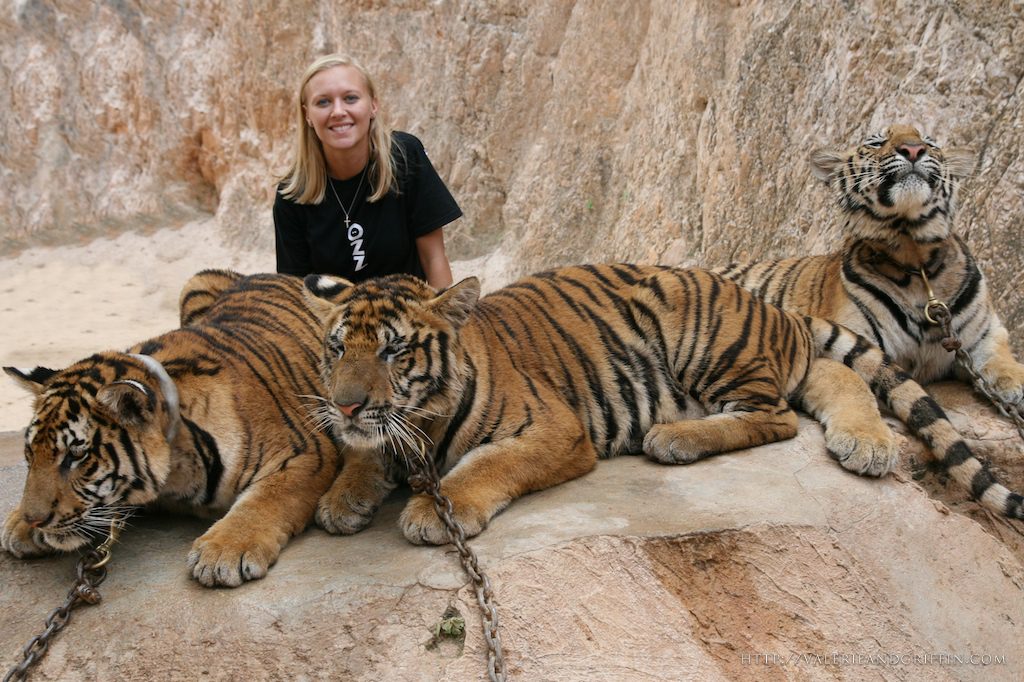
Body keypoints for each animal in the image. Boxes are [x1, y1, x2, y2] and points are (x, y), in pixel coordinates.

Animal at [2, 270, 342, 585]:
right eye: (30, 454)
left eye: (77, 456)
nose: (35, 521)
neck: (175, 470)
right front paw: (17, 524)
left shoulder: (306, 453)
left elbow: (263, 501)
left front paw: (223, 552)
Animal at [299, 262, 1019, 544]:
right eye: (336, 349)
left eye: (394, 351)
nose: (348, 406)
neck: (419, 426)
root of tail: (766, 304)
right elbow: (363, 456)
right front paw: (341, 498)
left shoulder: (556, 431)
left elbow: (483, 466)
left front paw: (432, 512)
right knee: (827, 376)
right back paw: (860, 441)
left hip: (702, 341)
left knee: (777, 414)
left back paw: (675, 439)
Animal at [716, 124, 1024, 403]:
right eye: (877, 142)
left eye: (929, 142)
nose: (913, 149)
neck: (915, 257)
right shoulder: (846, 340)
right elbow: (849, 386)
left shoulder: (984, 335)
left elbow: (1005, 360)